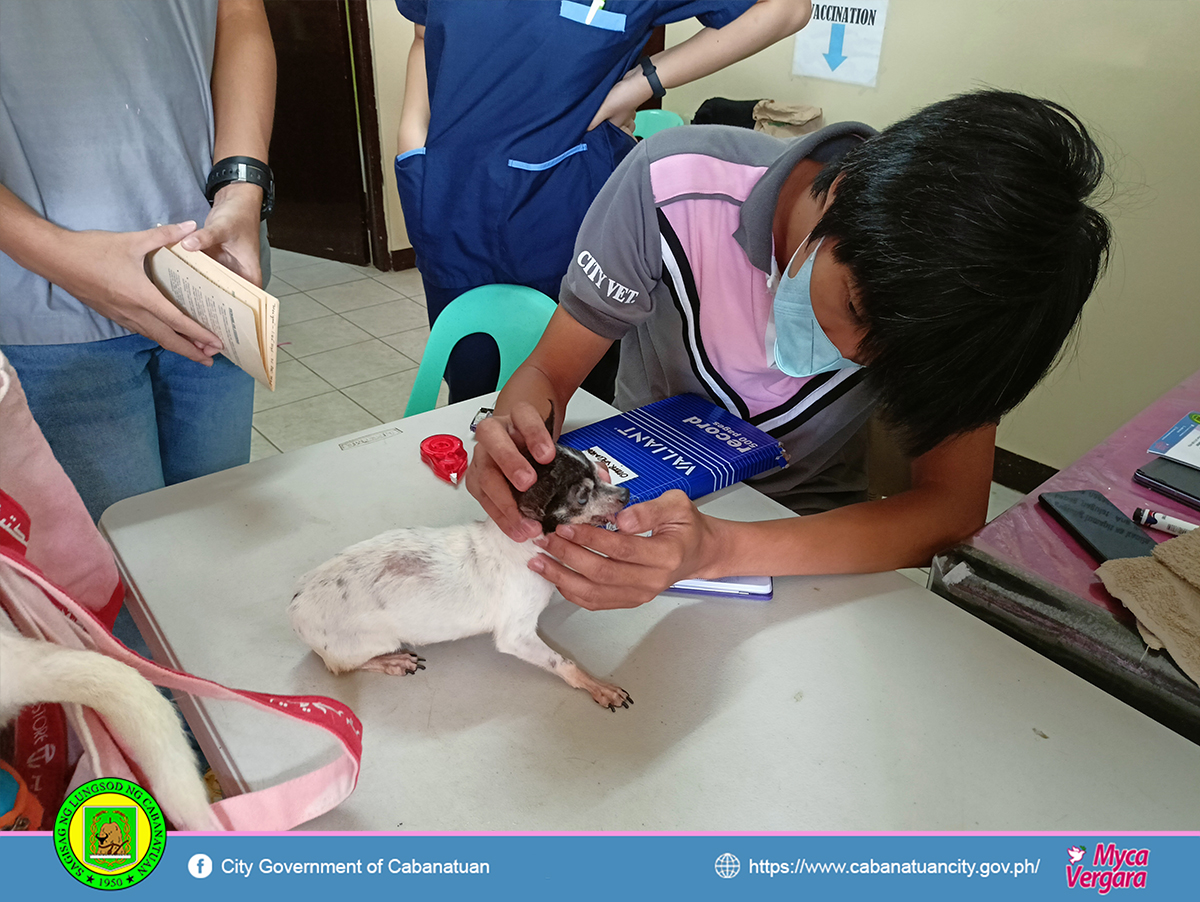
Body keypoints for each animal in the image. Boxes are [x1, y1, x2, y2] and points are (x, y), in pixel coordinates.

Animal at [288, 443, 638, 710]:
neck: (521, 545)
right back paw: (391, 661)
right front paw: (598, 687)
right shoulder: (516, 637)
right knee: (340, 666)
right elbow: (563, 662)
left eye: (599, 472)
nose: (625, 492)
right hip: (368, 642)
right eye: (583, 496)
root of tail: (295, 605)